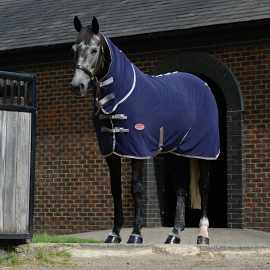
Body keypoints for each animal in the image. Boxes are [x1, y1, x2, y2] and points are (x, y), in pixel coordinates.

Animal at [69, 16, 219, 245]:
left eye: (94, 50)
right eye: (74, 49)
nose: (78, 86)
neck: (120, 96)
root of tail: (202, 84)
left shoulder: (136, 150)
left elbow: (136, 188)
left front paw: (136, 234)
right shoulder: (111, 152)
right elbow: (115, 189)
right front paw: (114, 234)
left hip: (204, 151)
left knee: (204, 187)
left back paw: (203, 234)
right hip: (172, 153)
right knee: (181, 187)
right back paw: (174, 233)